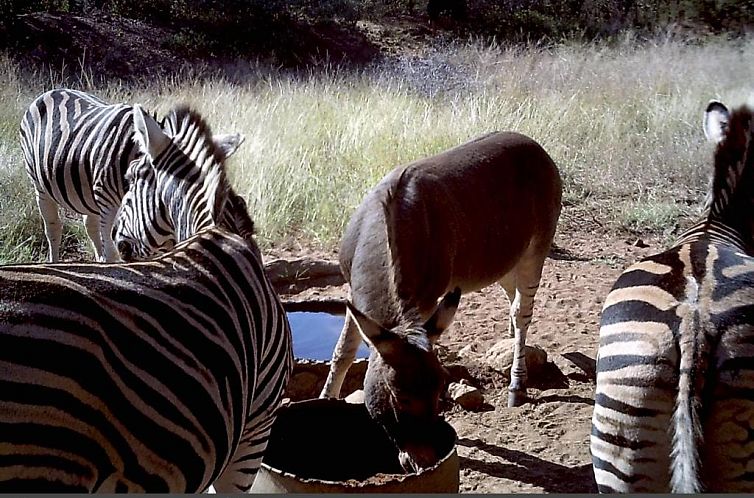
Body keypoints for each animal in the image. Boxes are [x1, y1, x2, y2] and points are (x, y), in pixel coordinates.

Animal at [19, 87, 244, 262]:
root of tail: (51, 91)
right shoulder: (108, 203)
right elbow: (113, 252)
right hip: (40, 187)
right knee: (53, 228)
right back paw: (55, 260)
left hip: (88, 195)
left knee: (89, 225)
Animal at [318, 130, 560, 472]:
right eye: (401, 396)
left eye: (439, 388)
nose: (423, 462)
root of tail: (533, 144)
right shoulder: (355, 294)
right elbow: (342, 354)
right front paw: (323, 402)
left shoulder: (429, 301)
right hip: (505, 262)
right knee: (513, 304)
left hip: (536, 249)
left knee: (523, 310)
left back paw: (517, 385)